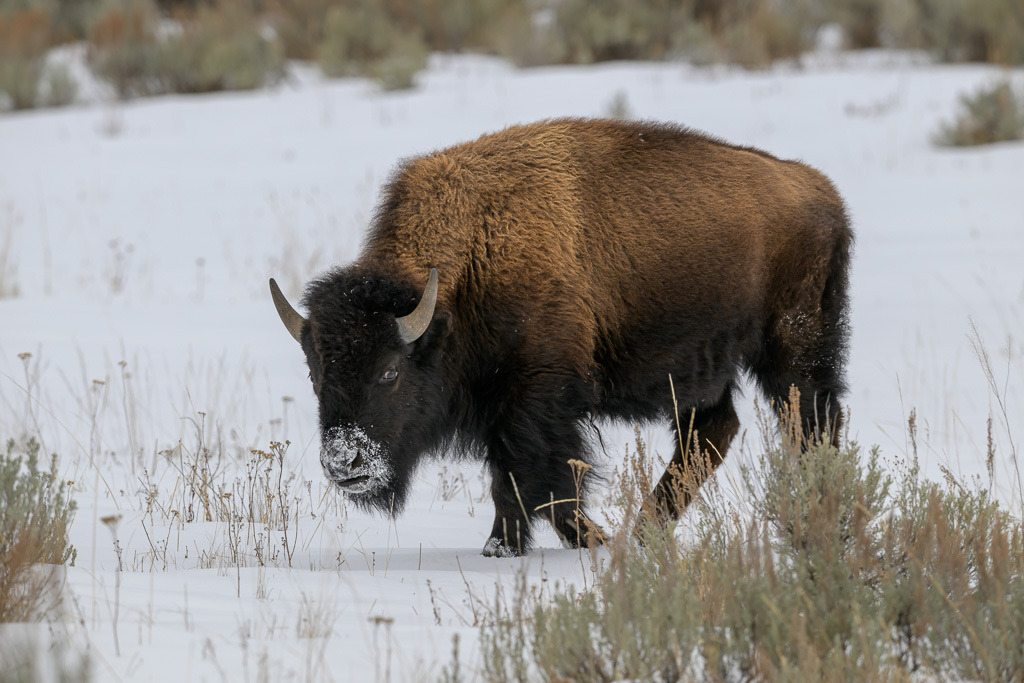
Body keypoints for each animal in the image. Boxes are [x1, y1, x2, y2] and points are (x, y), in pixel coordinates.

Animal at [270, 118, 852, 556]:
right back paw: (644, 533)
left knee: (812, 422)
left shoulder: (537, 399)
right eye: (315, 374)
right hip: (699, 372)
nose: (344, 463)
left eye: (390, 370)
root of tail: (819, 190)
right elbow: (532, 485)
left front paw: (531, 546)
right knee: (713, 430)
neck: (475, 252)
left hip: (794, 349)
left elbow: (530, 476)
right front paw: (557, 544)